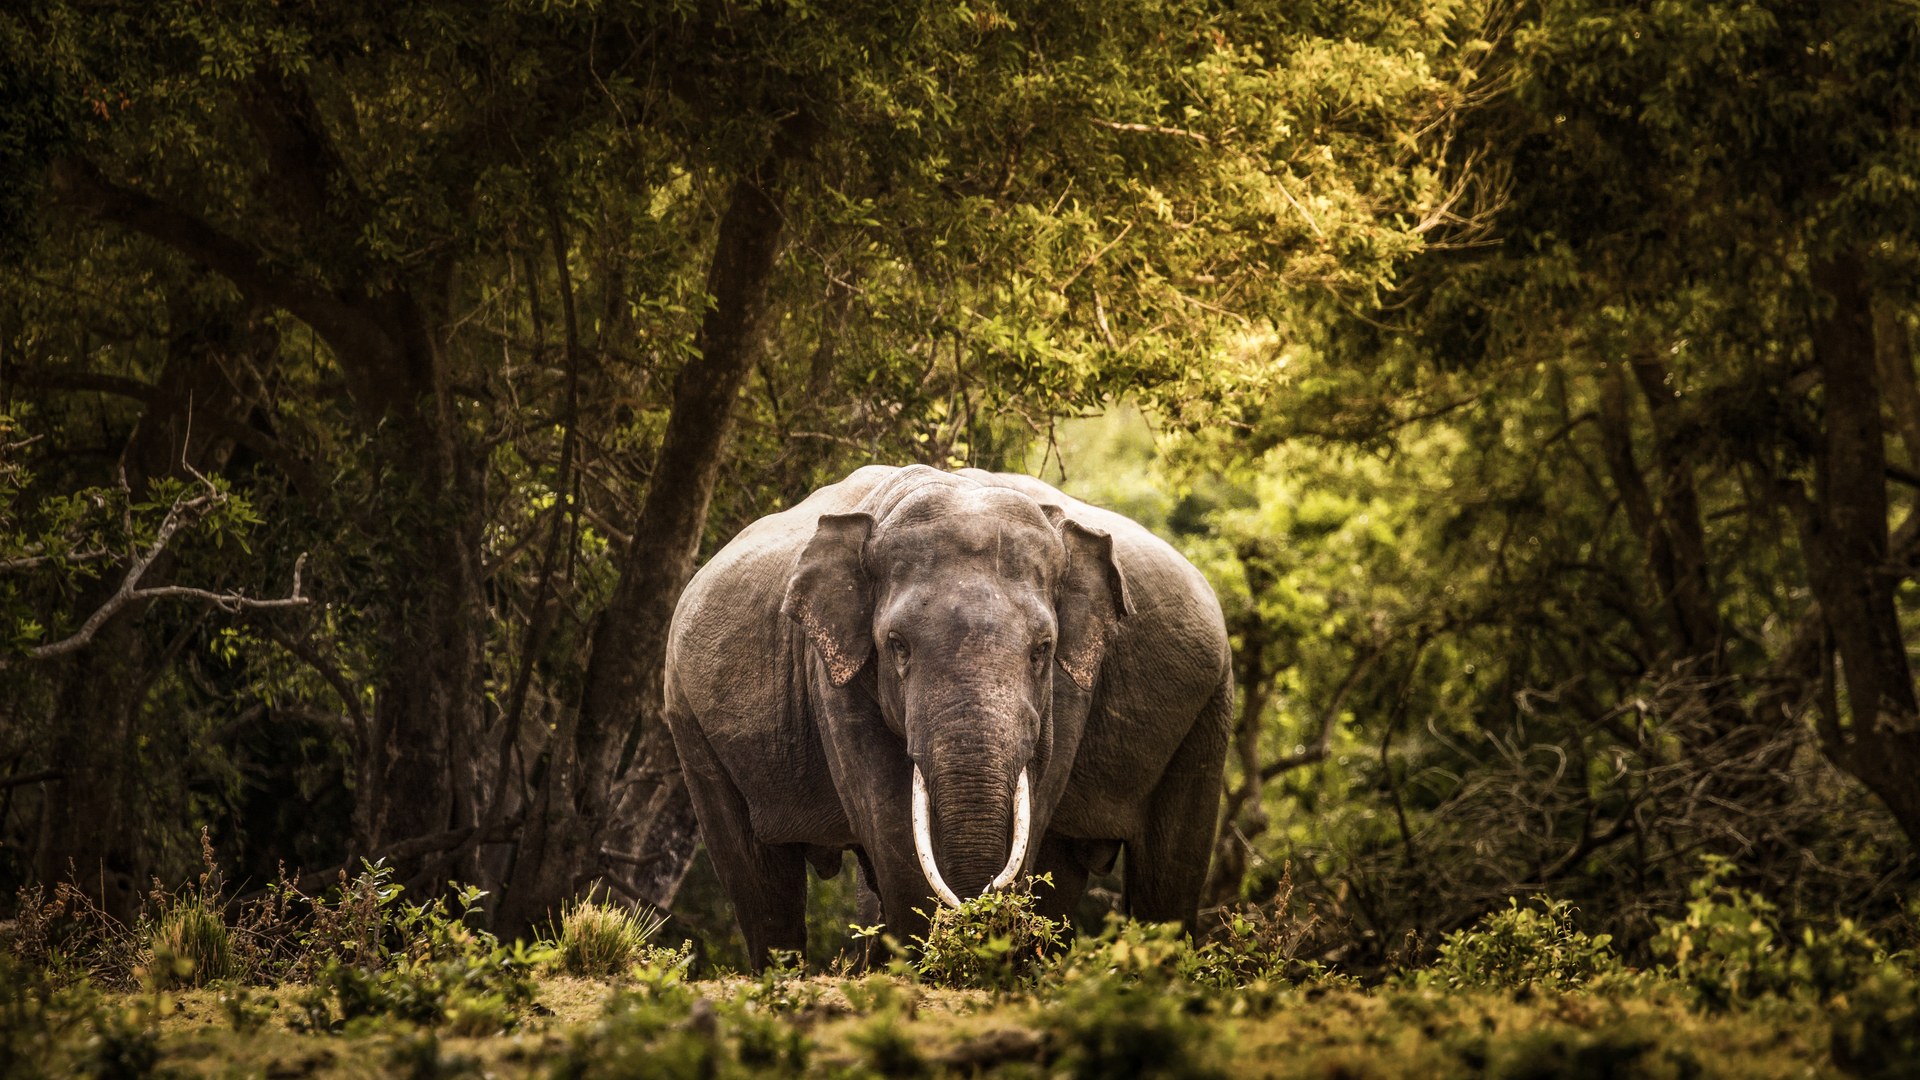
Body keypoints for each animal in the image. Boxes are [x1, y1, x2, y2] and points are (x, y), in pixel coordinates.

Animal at [663, 464, 1232, 968]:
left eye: (1043, 649)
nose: (978, 904)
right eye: (896, 645)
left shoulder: (1073, 684)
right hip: (687, 716)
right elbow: (889, 818)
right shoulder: (829, 670)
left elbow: (1039, 792)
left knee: (1168, 872)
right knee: (758, 880)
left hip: (1210, 704)